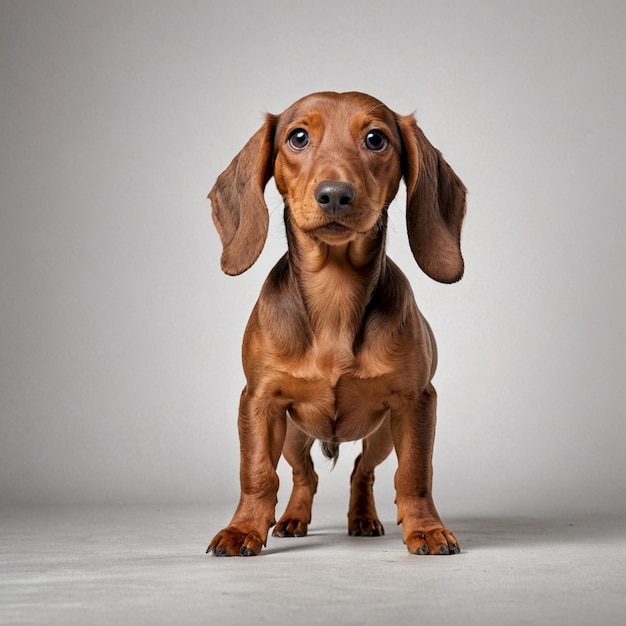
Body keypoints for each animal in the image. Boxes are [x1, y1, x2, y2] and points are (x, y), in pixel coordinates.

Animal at [205, 90, 464, 552]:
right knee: (302, 473)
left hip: (381, 433)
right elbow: (257, 473)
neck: (335, 295)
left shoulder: (416, 402)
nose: (335, 195)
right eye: (298, 137)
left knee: (363, 468)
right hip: (293, 434)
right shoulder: (259, 402)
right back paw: (292, 518)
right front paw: (243, 529)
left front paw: (426, 528)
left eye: (376, 139)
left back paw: (362, 518)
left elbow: (415, 474)